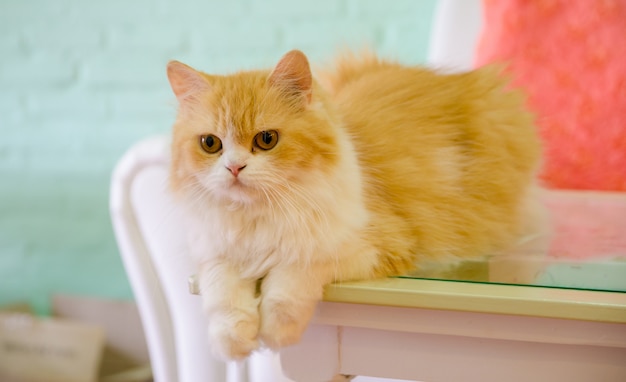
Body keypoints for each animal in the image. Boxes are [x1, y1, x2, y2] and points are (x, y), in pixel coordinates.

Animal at [166, 49, 540, 360]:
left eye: (266, 139)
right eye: (210, 144)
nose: (234, 168)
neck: (259, 217)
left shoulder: (371, 246)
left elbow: (291, 279)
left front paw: (276, 333)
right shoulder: (216, 254)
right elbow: (224, 300)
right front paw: (234, 343)